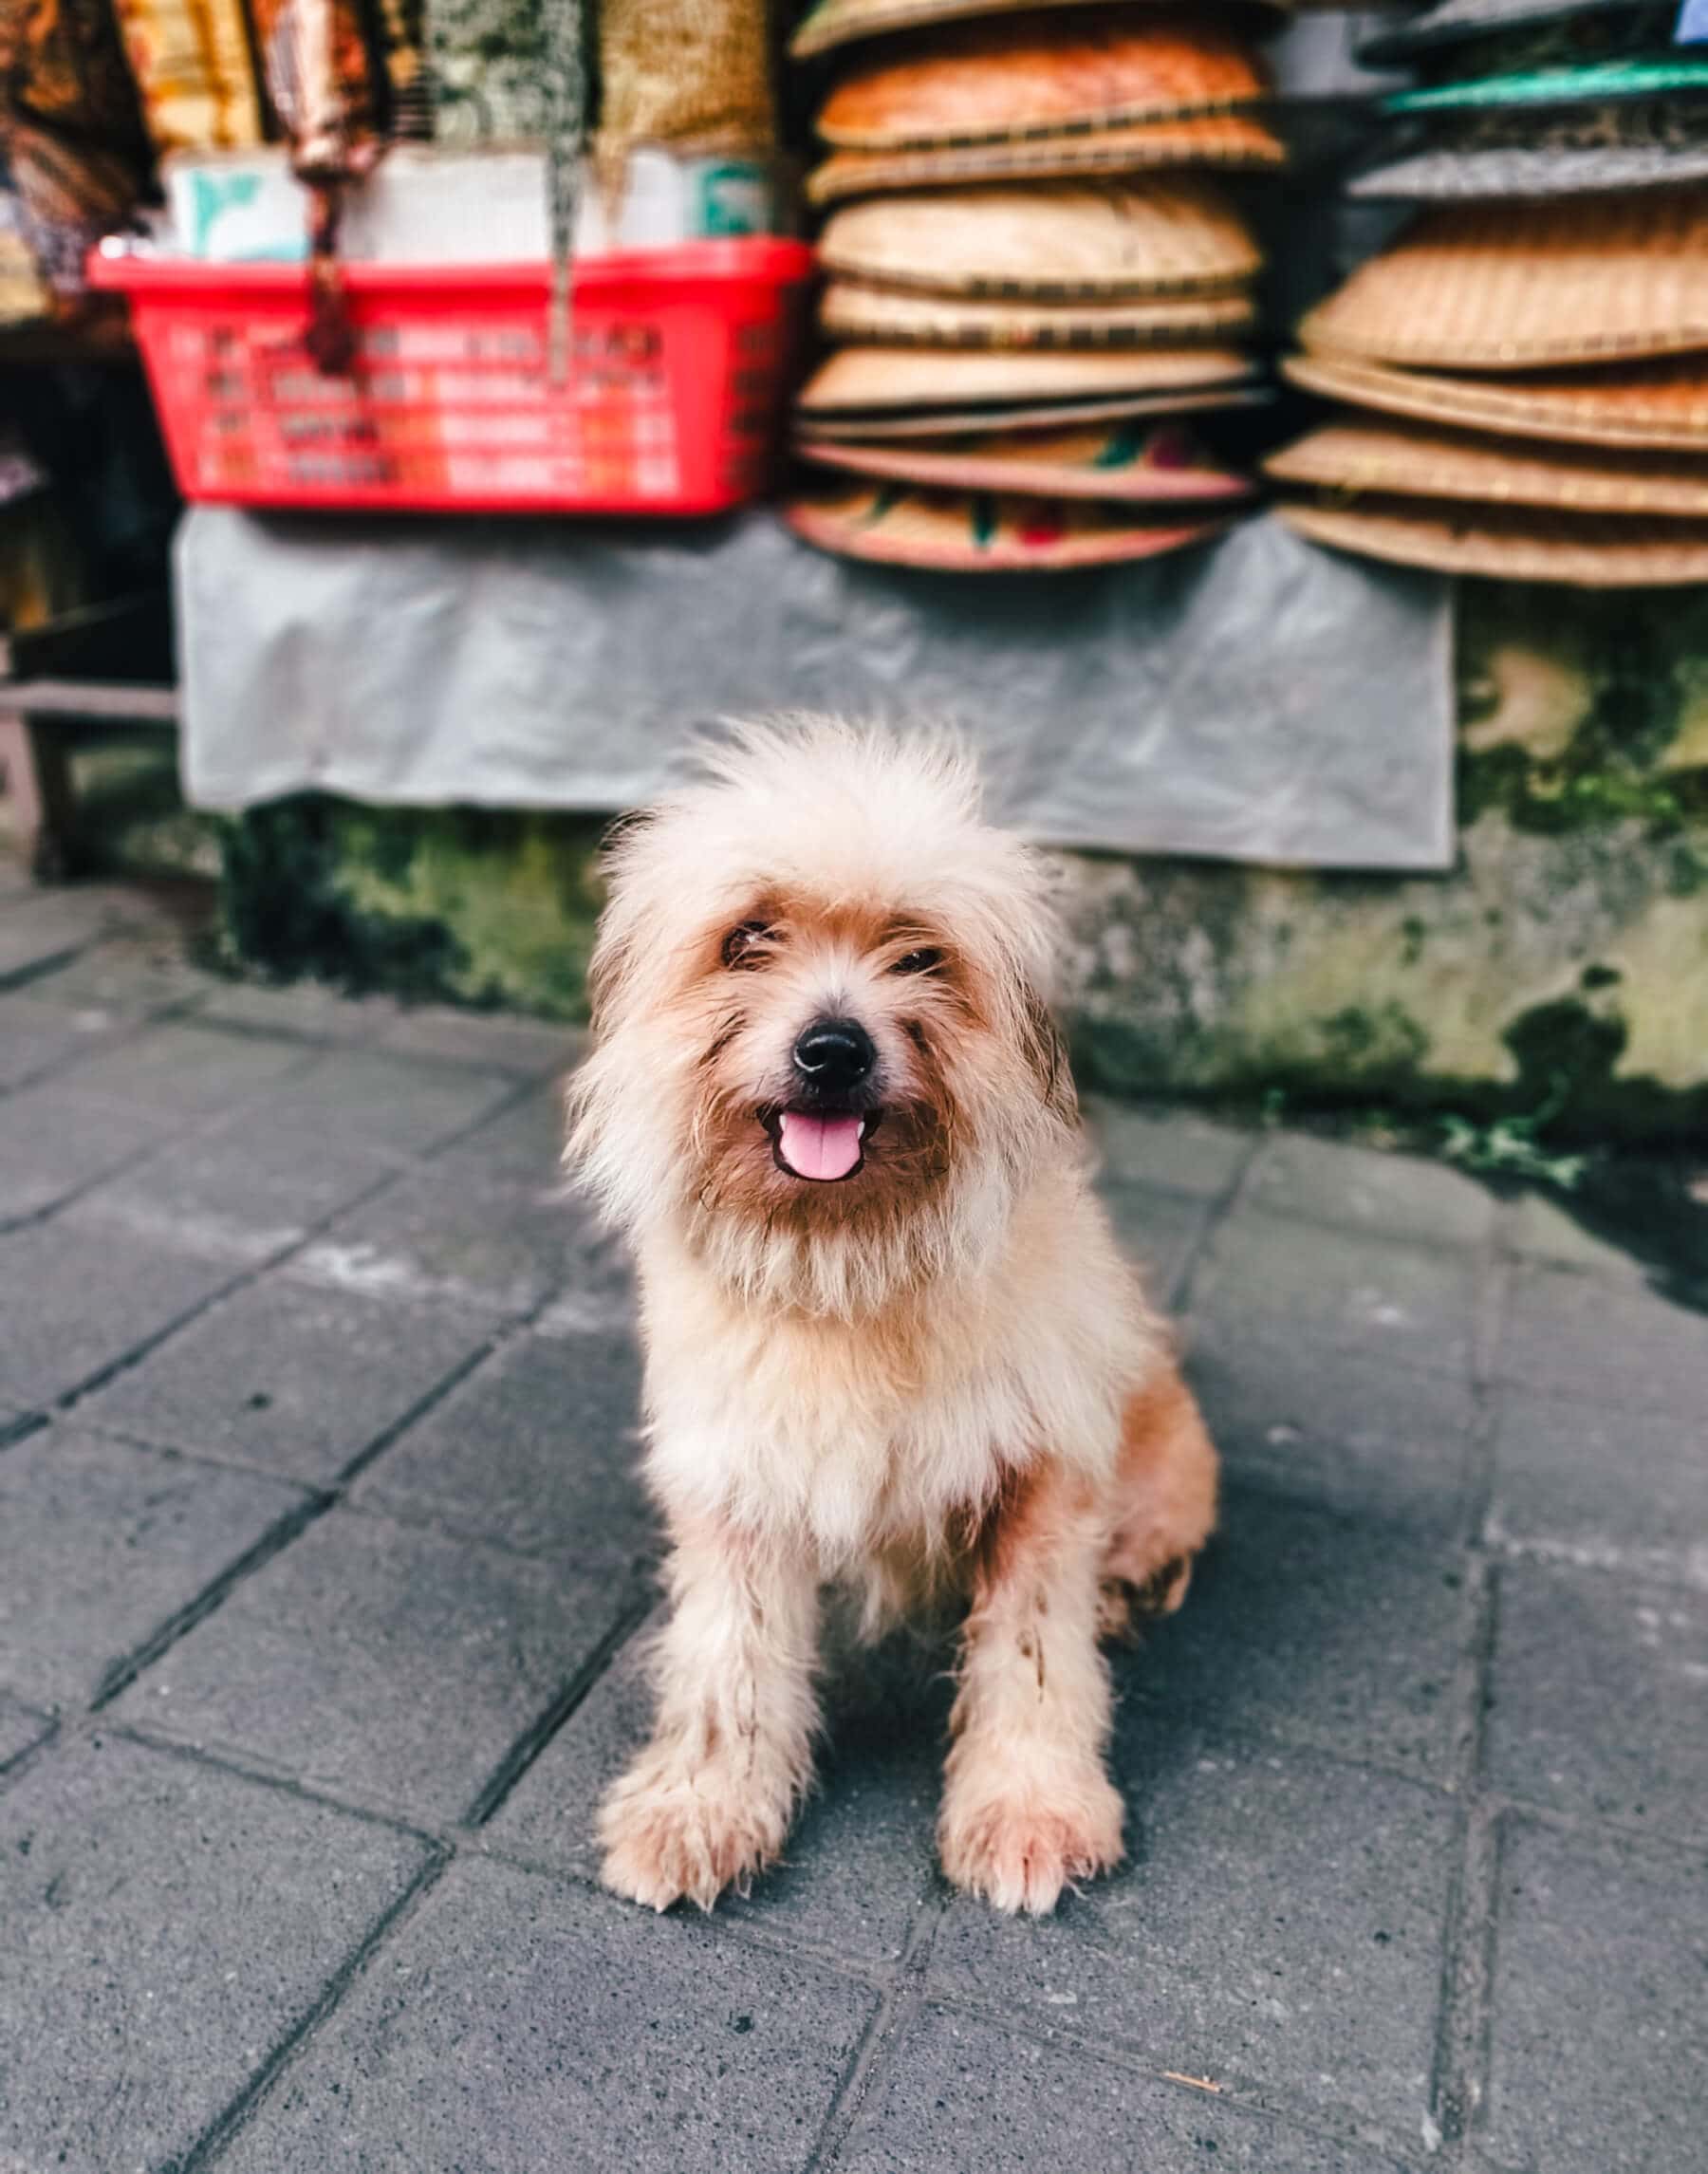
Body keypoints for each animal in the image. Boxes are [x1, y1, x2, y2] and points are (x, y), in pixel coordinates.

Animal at [565, 726, 1216, 1922]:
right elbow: (729, 1653)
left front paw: (1030, 1802)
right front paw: (703, 1803)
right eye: (749, 937)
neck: (851, 1267)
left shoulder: (1045, 1475)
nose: (834, 1048)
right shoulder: (736, 1479)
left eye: (921, 955)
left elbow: (1031, 1649)